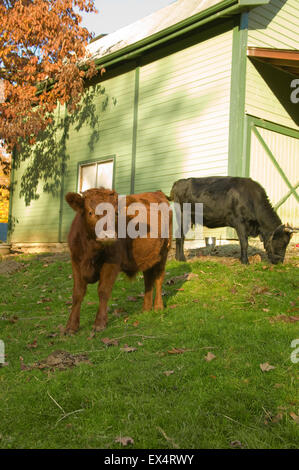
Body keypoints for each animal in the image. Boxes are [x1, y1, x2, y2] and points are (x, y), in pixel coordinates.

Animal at [65, 188, 173, 334]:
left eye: (116, 213)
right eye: (90, 212)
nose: (108, 236)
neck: (90, 252)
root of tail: (157, 192)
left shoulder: (112, 262)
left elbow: (103, 291)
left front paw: (99, 323)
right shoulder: (76, 261)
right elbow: (77, 293)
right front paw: (71, 326)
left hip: (164, 251)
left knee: (158, 278)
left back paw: (158, 307)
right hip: (147, 257)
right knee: (148, 280)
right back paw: (146, 309)